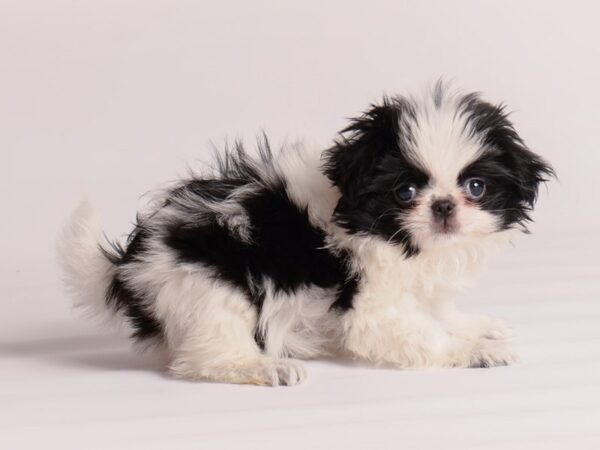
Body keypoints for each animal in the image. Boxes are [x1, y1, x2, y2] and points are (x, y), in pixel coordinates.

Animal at [59, 82, 552, 384]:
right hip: (209, 285)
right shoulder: (371, 308)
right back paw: (264, 367)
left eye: (476, 187)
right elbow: (422, 334)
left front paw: (475, 327)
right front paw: (475, 351)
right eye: (405, 192)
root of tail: (129, 263)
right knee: (207, 356)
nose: (444, 206)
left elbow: (436, 312)